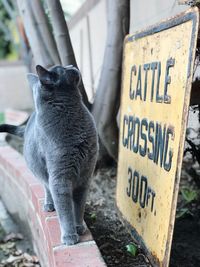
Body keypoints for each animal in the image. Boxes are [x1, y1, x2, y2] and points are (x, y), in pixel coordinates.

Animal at [0, 64, 98, 245]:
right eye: (62, 69)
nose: (72, 65)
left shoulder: (86, 175)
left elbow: (79, 205)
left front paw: (79, 226)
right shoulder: (60, 178)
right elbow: (65, 210)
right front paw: (69, 236)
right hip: (41, 170)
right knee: (46, 186)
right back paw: (49, 204)